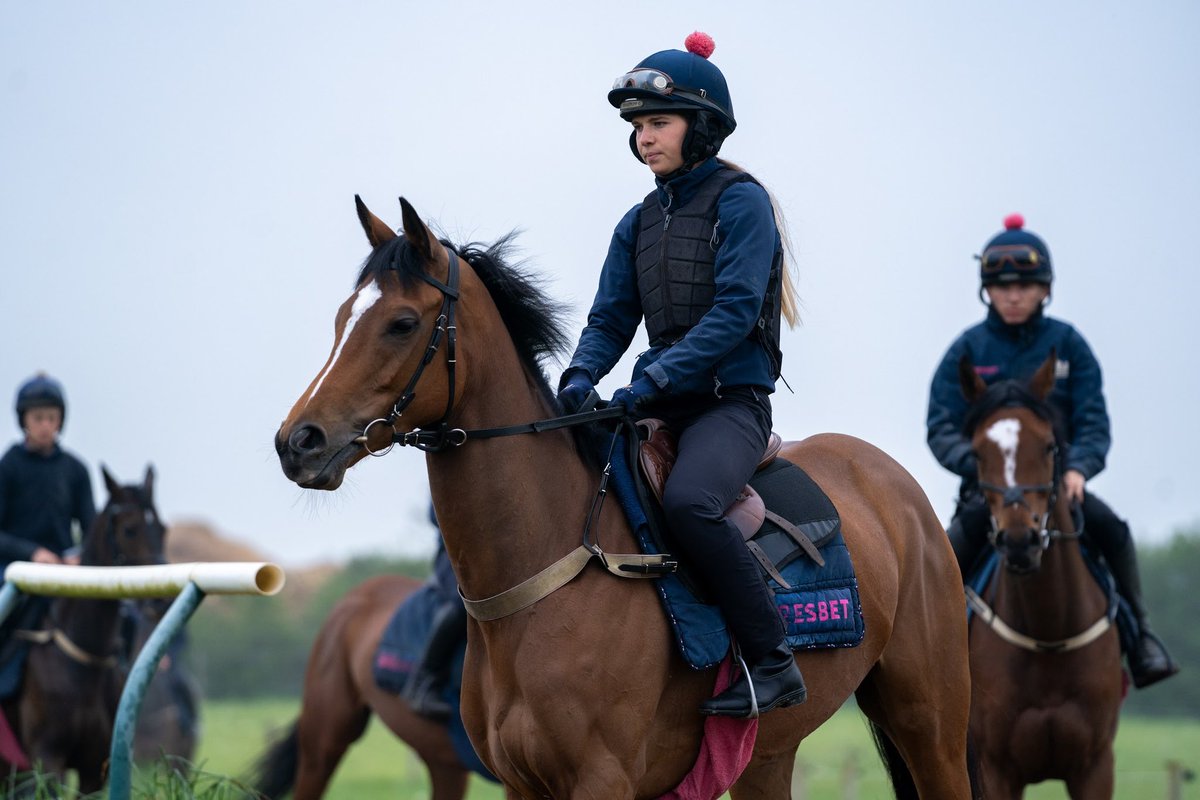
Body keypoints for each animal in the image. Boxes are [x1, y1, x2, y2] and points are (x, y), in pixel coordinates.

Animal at [0, 462, 166, 796]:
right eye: (130, 529)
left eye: (163, 529)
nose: (161, 599)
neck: (86, 659)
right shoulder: (47, 757)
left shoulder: (95, 765)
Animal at [276, 195, 979, 800]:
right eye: (342, 318)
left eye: (401, 323)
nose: (297, 441)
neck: (548, 573)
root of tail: (895, 484)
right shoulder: (522, 784)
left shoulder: (604, 779)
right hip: (767, 756)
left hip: (931, 724)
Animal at [955, 357, 1123, 800]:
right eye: (977, 453)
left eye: (1049, 446)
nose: (1019, 541)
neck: (1049, 634)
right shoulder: (996, 768)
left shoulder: (1096, 765)